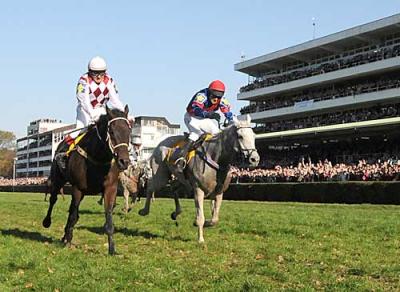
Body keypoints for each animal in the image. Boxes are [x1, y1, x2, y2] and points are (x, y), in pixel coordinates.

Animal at [43, 106, 131, 254]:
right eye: (112, 131)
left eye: (128, 132)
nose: (124, 162)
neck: (98, 158)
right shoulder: (77, 188)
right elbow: (72, 215)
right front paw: (68, 240)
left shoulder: (110, 189)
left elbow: (108, 218)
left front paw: (112, 249)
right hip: (58, 179)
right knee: (53, 200)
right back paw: (48, 223)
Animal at [140, 115, 260, 243]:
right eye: (240, 136)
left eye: (254, 136)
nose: (254, 159)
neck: (216, 158)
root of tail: (160, 143)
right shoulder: (198, 189)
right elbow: (200, 217)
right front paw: (200, 239)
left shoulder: (219, 192)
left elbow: (215, 219)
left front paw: (206, 223)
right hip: (161, 176)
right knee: (150, 187)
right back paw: (144, 210)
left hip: (181, 179)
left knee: (173, 188)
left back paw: (176, 213)